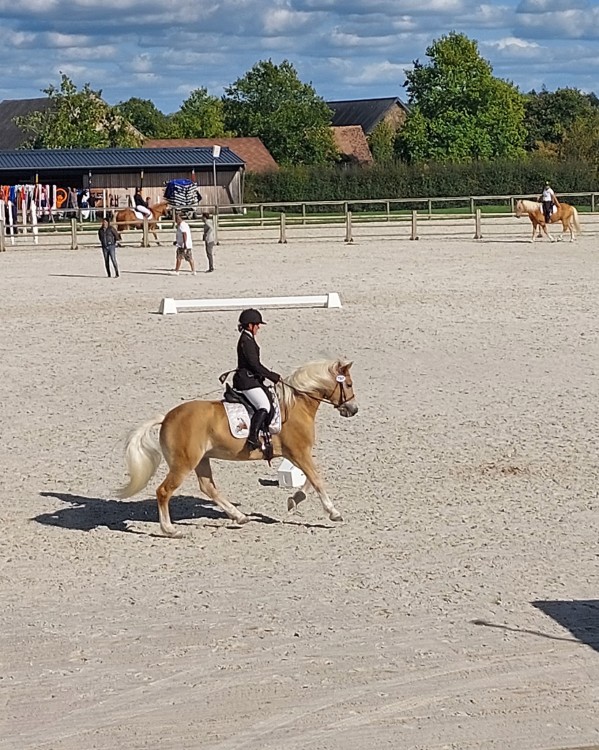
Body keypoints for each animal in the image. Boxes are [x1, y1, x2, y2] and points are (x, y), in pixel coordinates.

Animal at [118, 362, 360, 536]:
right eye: (348, 384)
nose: (353, 410)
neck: (295, 405)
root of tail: (167, 417)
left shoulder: (297, 454)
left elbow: (310, 480)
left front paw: (293, 501)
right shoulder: (299, 452)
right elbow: (317, 479)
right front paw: (334, 513)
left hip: (201, 459)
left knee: (208, 487)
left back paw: (239, 516)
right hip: (184, 463)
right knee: (164, 491)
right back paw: (170, 530)